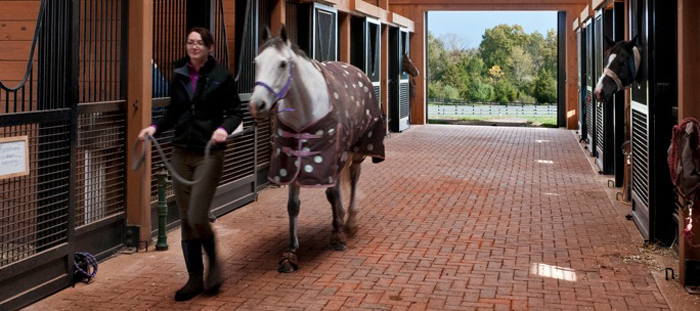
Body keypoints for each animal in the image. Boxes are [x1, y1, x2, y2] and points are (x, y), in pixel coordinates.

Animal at [247, 26, 388, 274]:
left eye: (282, 64)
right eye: (256, 62)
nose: (257, 105)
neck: (305, 109)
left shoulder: (331, 156)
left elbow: (331, 194)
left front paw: (338, 237)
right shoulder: (291, 161)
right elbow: (293, 206)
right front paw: (290, 253)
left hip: (357, 150)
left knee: (353, 177)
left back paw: (349, 222)